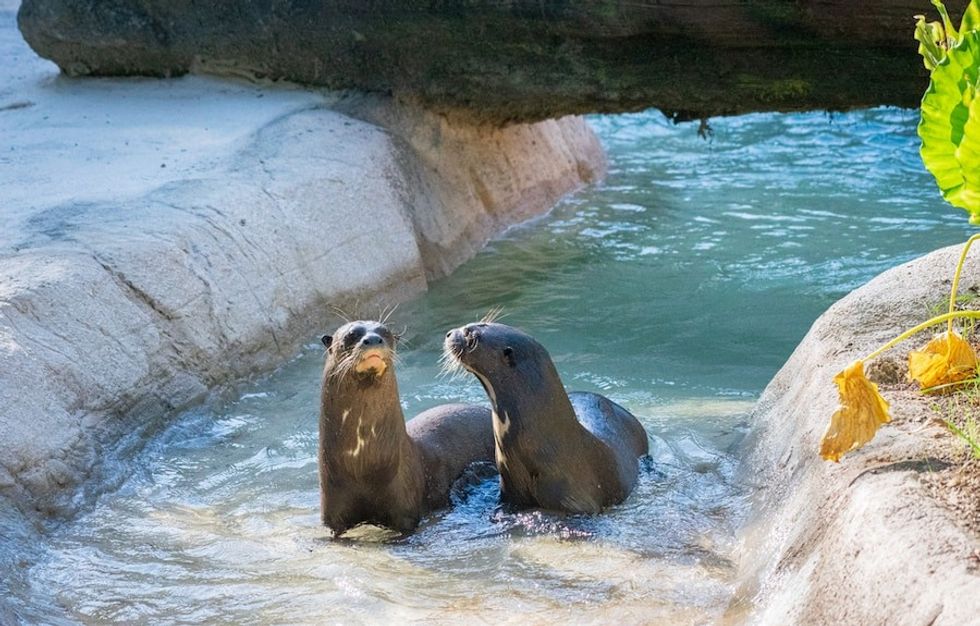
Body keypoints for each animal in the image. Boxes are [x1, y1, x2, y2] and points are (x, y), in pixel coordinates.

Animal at [318, 320, 494, 536]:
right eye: (351, 335)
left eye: (385, 333)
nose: (373, 339)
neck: (362, 464)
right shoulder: (332, 513)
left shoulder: (405, 511)